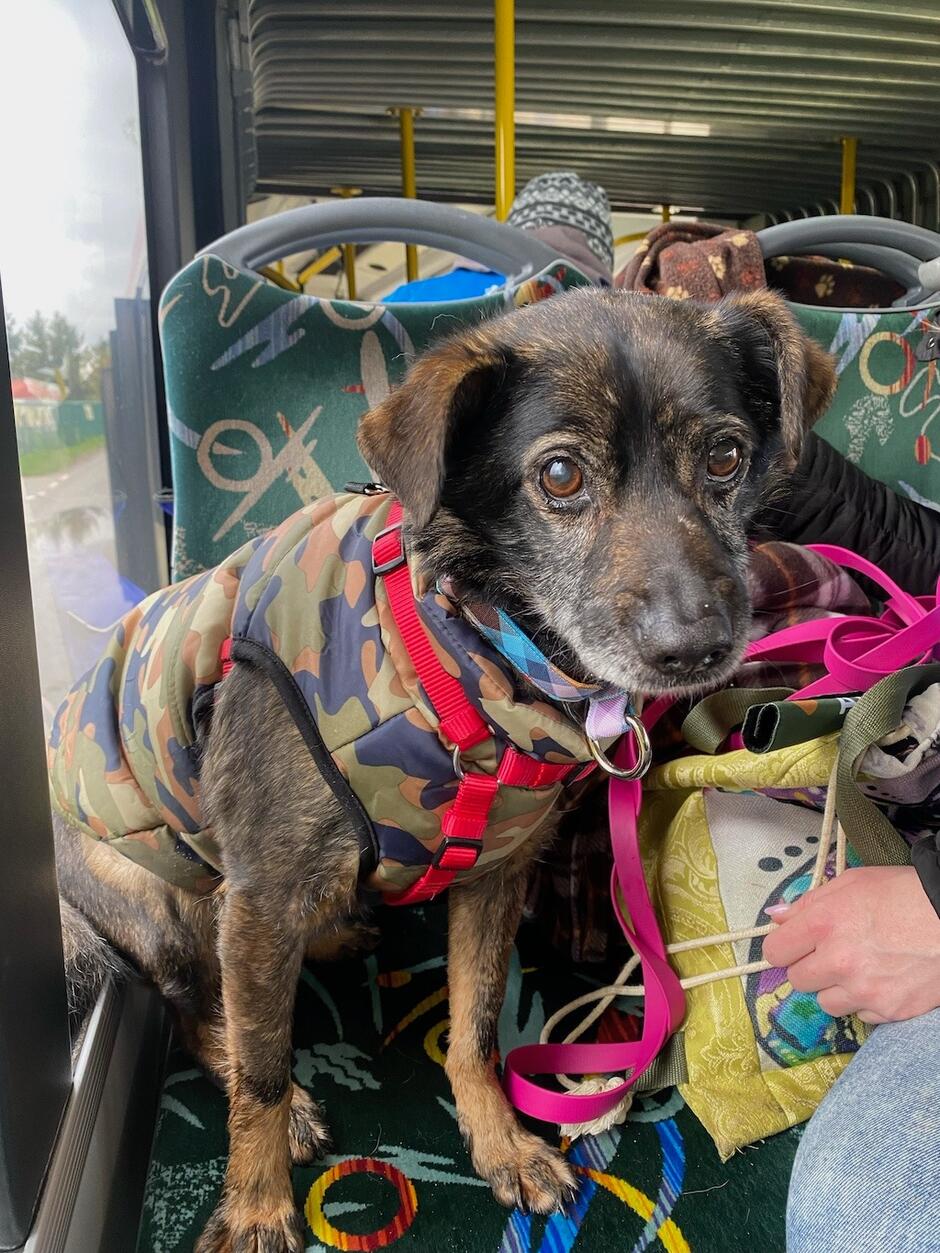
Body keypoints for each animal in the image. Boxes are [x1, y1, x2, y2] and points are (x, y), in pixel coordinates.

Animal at [51, 286, 837, 1253]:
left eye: (726, 455)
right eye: (561, 475)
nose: (694, 648)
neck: (467, 657)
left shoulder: (495, 875)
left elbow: (475, 1024)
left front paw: (500, 1142)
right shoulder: (262, 894)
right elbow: (263, 1074)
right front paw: (257, 1204)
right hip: (163, 900)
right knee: (199, 1007)